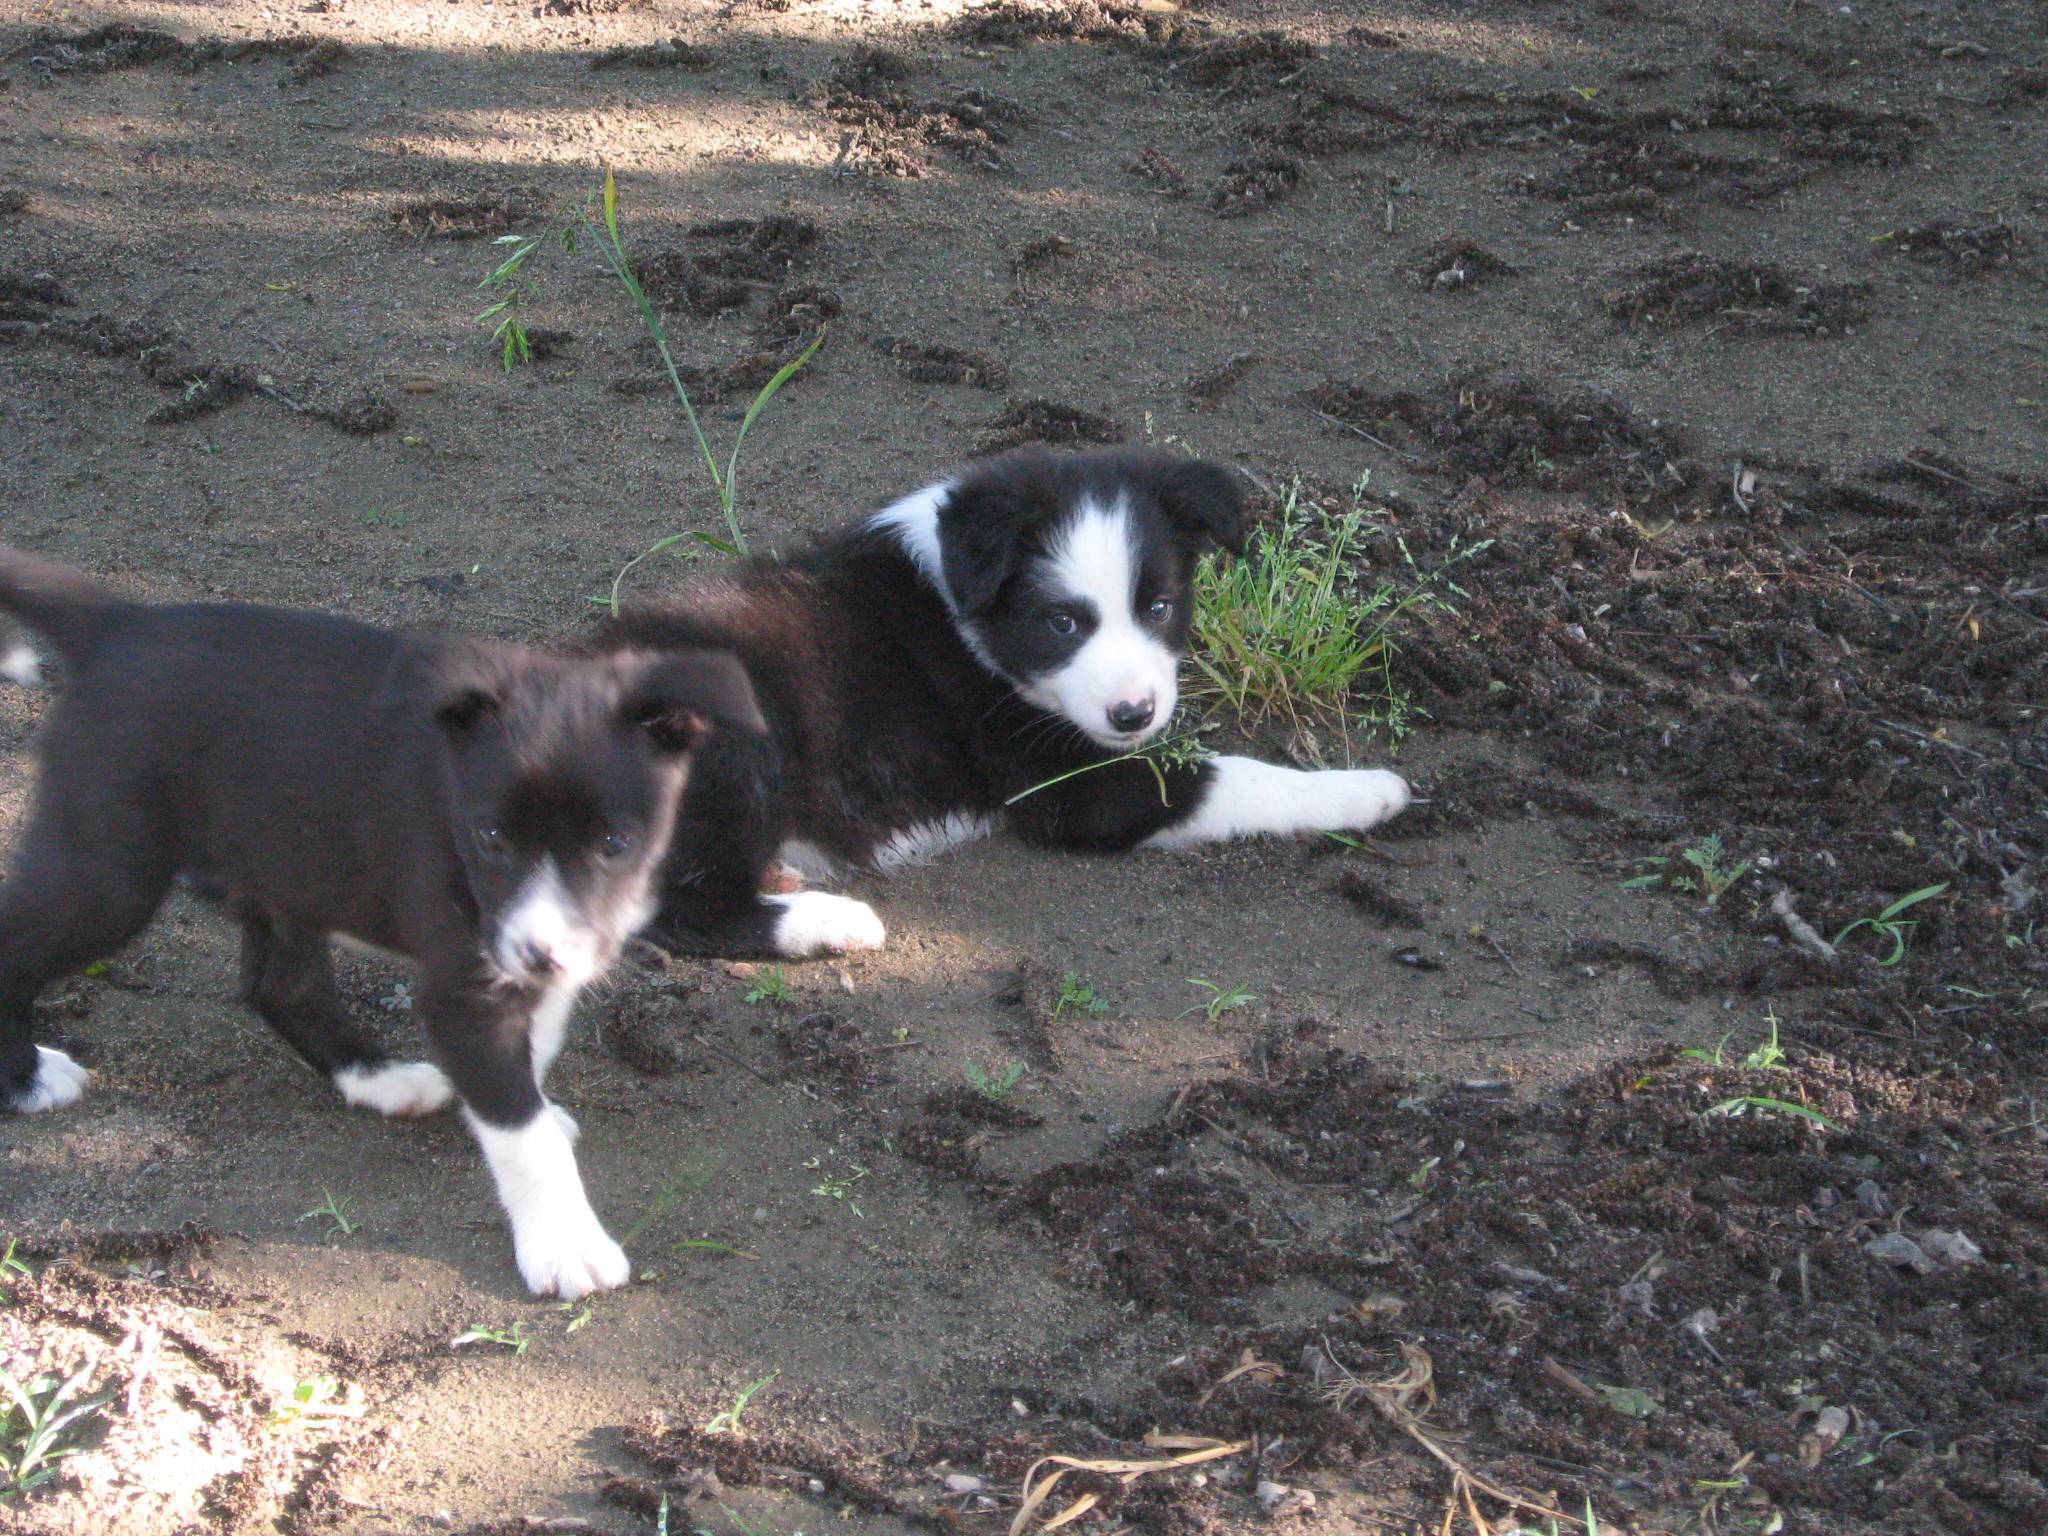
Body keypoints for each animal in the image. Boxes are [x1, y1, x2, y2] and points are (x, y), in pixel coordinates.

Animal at [0, 552, 770, 1302]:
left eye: (614, 843)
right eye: (490, 837)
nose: (538, 955)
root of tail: (120, 625)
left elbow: (536, 1048)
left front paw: (521, 1104)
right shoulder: (466, 983)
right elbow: (522, 1130)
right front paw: (564, 1245)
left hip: (289, 865)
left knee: (281, 986)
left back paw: (379, 1078)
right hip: (109, 869)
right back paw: (29, 1077)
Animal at [598, 442, 1417, 962]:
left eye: (1158, 608)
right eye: (1061, 623)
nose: (1134, 715)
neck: (964, 601)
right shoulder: (1072, 788)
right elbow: (1234, 776)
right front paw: (1368, 790)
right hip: (730, 741)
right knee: (672, 910)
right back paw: (832, 922)